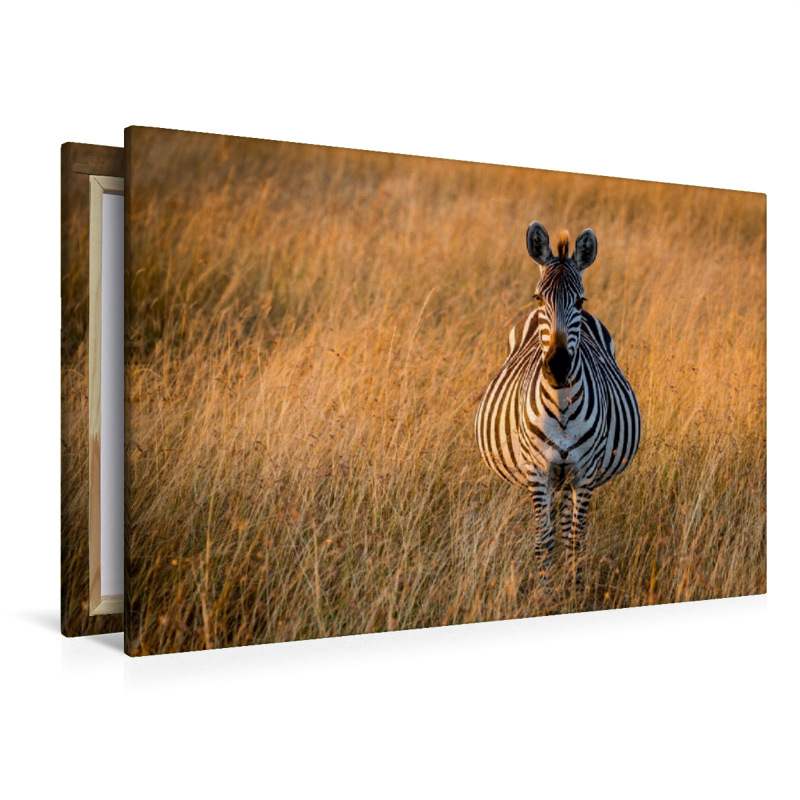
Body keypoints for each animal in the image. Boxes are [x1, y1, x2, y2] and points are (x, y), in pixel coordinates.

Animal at [474, 221, 641, 592]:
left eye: (580, 300)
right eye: (539, 298)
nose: (558, 368)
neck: (562, 407)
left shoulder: (585, 472)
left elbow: (576, 539)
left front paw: (575, 593)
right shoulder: (538, 471)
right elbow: (543, 540)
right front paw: (543, 593)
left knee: (566, 525)